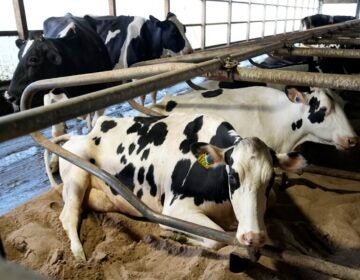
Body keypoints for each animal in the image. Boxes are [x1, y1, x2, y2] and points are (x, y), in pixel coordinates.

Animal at [47, 112, 306, 260]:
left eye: (270, 179)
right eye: (233, 176)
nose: (253, 236)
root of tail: (81, 135)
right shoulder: (175, 208)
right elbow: (217, 238)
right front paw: (175, 234)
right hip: (76, 176)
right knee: (68, 215)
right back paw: (79, 253)